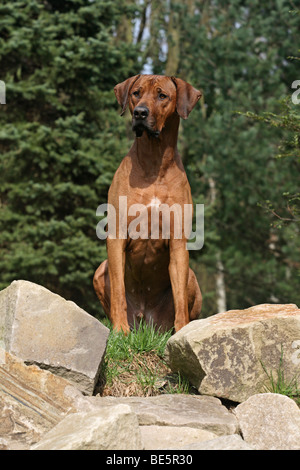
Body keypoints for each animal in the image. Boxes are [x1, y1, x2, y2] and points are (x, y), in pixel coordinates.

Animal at [94, 75, 202, 334]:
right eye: (136, 93)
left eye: (162, 95)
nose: (140, 113)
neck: (154, 161)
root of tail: (146, 320)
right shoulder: (117, 235)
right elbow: (119, 291)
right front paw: (120, 330)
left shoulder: (178, 242)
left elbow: (180, 299)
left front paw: (182, 333)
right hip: (100, 270)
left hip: (192, 277)